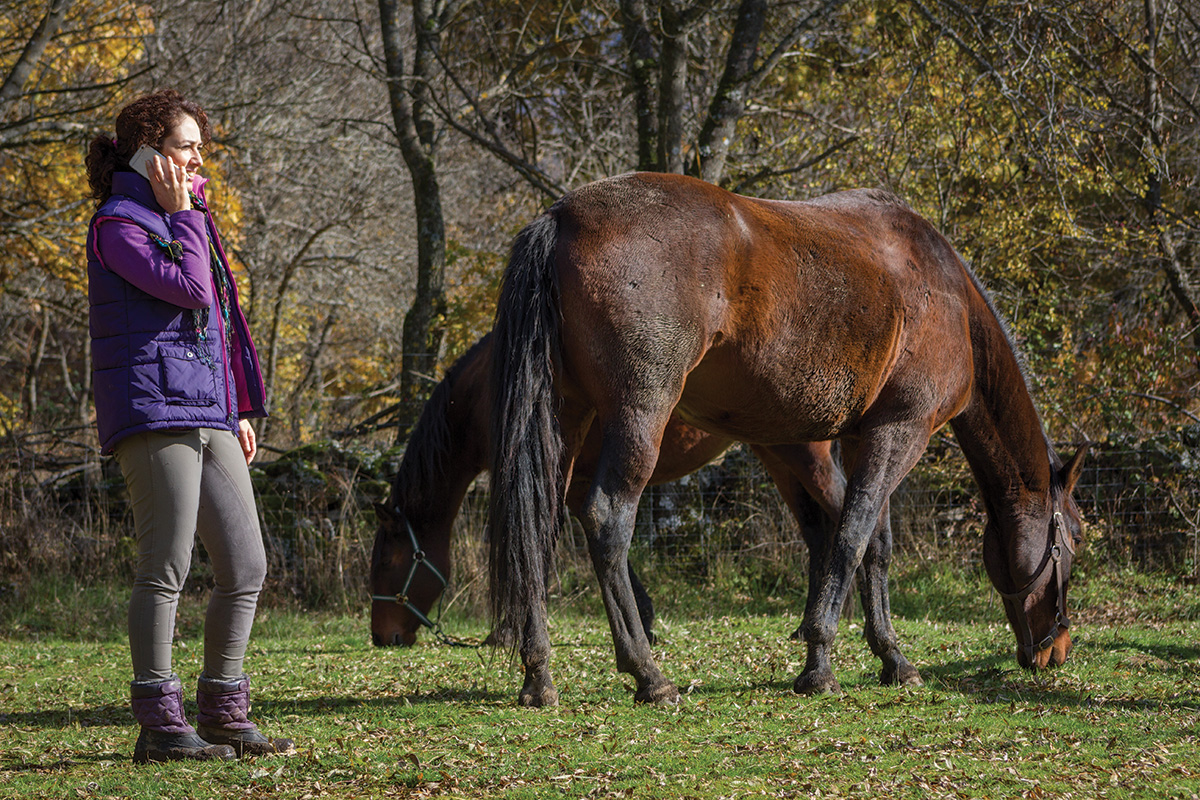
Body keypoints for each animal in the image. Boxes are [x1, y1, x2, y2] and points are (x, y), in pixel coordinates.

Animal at [369, 331, 912, 690]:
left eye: (387, 562)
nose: (382, 638)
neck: (483, 394)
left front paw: (509, 632)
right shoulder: (575, 483)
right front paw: (642, 625)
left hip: (802, 454)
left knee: (847, 523)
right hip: (777, 451)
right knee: (819, 532)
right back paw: (810, 628)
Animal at [487, 170, 1089, 705]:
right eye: (1077, 538)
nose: (1056, 649)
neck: (948, 298)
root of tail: (561, 217)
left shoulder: (863, 437)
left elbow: (874, 544)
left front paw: (891, 656)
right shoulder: (900, 432)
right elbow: (851, 538)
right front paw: (820, 663)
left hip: (567, 420)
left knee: (539, 525)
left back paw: (538, 675)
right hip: (639, 415)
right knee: (609, 520)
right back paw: (648, 674)